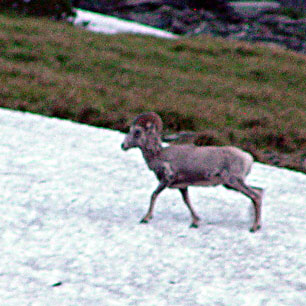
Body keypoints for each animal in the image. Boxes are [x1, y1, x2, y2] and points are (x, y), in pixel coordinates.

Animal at [121, 112, 262, 232]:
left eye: (137, 132)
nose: (123, 146)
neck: (159, 155)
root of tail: (248, 158)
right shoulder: (182, 187)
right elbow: (187, 201)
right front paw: (195, 222)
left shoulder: (166, 181)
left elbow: (154, 195)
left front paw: (145, 219)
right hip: (232, 184)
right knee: (259, 192)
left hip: (234, 182)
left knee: (255, 196)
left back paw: (254, 228)